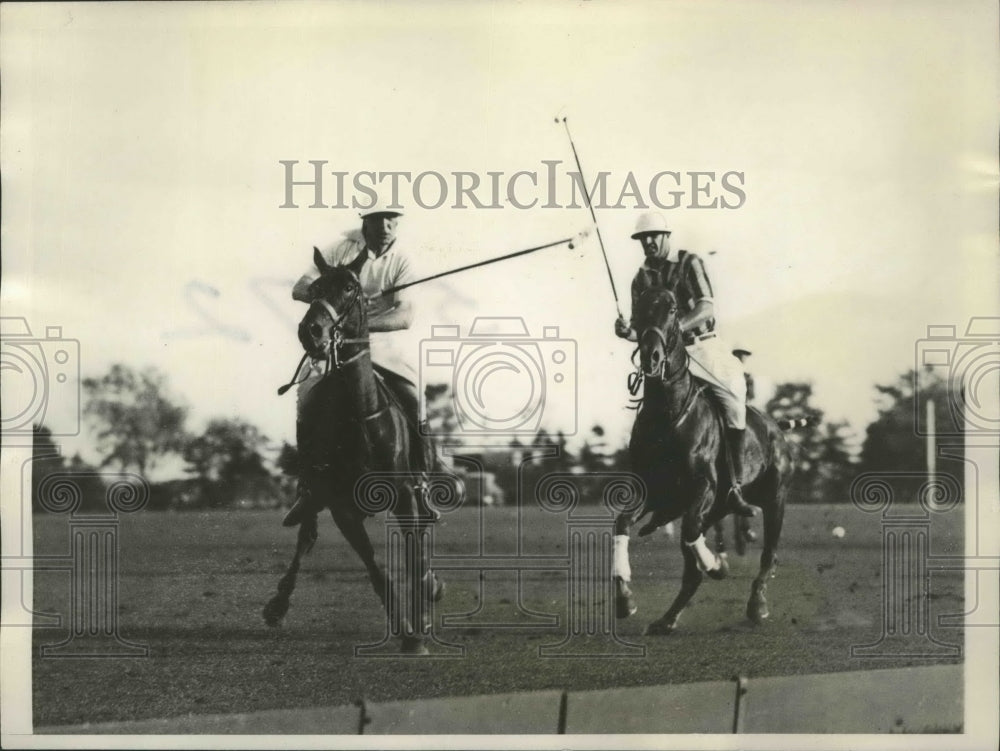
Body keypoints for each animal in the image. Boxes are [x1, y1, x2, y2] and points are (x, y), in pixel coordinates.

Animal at [262, 248, 442, 652]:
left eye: (349, 287)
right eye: (314, 288)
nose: (311, 331)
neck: (361, 420)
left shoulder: (404, 495)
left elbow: (414, 556)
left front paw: (422, 618)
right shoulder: (341, 505)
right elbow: (375, 568)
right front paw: (406, 632)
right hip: (315, 492)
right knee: (306, 535)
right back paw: (278, 605)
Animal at [608, 286, 796, 636]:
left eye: (672, 309)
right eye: (637, 308)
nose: (651, 357)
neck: (666, 413)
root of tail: (775, 427)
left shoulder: (704, 485)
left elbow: (692, 530)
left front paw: (715, 566)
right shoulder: (653, 490)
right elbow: (623, 523)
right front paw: (625, 598)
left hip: (775, 497)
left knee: (769, 554)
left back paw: (756, 604)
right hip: (718, 508)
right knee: (692, 563)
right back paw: (667, 619)